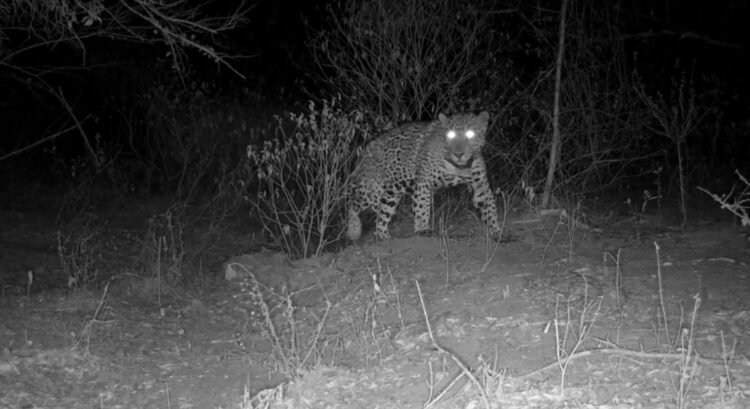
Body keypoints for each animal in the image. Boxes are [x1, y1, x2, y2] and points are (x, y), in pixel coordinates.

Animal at [345, 111, 500, 241]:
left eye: (470, 134)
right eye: (450, 135)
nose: (458, 153)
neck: (458, 167)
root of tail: (365, 150)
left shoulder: (481, 185)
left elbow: (490, 207)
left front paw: (497, 231)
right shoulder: (424, 182)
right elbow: (422, 205)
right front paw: (422, 229)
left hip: (391, 193)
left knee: (382, 214)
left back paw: (383, 237)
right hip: (371, 191)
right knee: (352, 205)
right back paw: (353, 231)